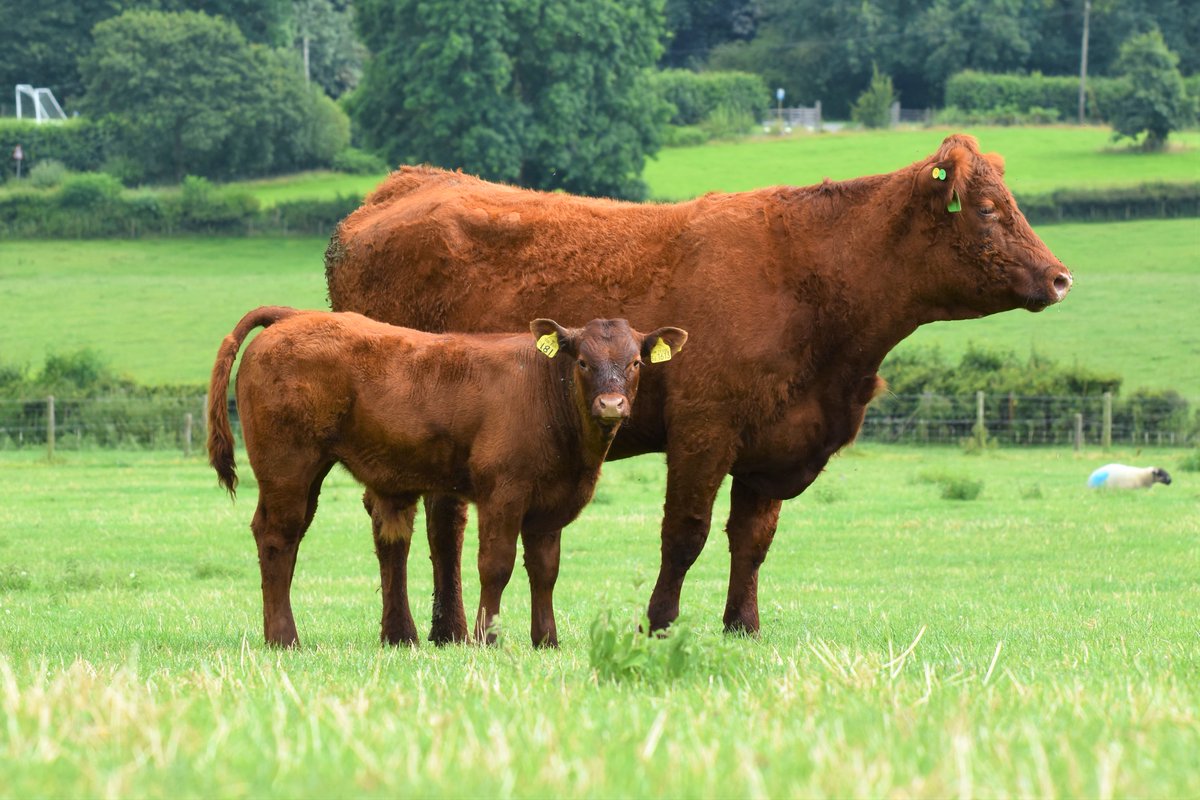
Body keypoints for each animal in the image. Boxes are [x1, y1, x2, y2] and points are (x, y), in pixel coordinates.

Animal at [207, 306, 687, 648]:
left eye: (635, 363)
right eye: (584, 362)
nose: (611, 405)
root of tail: (293, 316)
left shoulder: (551, 504)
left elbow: (545, 570)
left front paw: (546, 640)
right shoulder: (502, 491)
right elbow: (495, 565)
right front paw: (485, 639)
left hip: (306, 475)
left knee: (286, 538)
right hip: (287, 465)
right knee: (276, 537)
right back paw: (284, 638)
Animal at [324, 133, 1073, 641]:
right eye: (986, 210)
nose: (1061, 277)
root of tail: (410, 183)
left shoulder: (774, 444)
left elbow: (753, 539)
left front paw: (743, 624)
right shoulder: (705, 428)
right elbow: (685, 533)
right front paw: (658, 623)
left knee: (443, 521)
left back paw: (445, 629)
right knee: (403, 520)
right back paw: (407, 631)